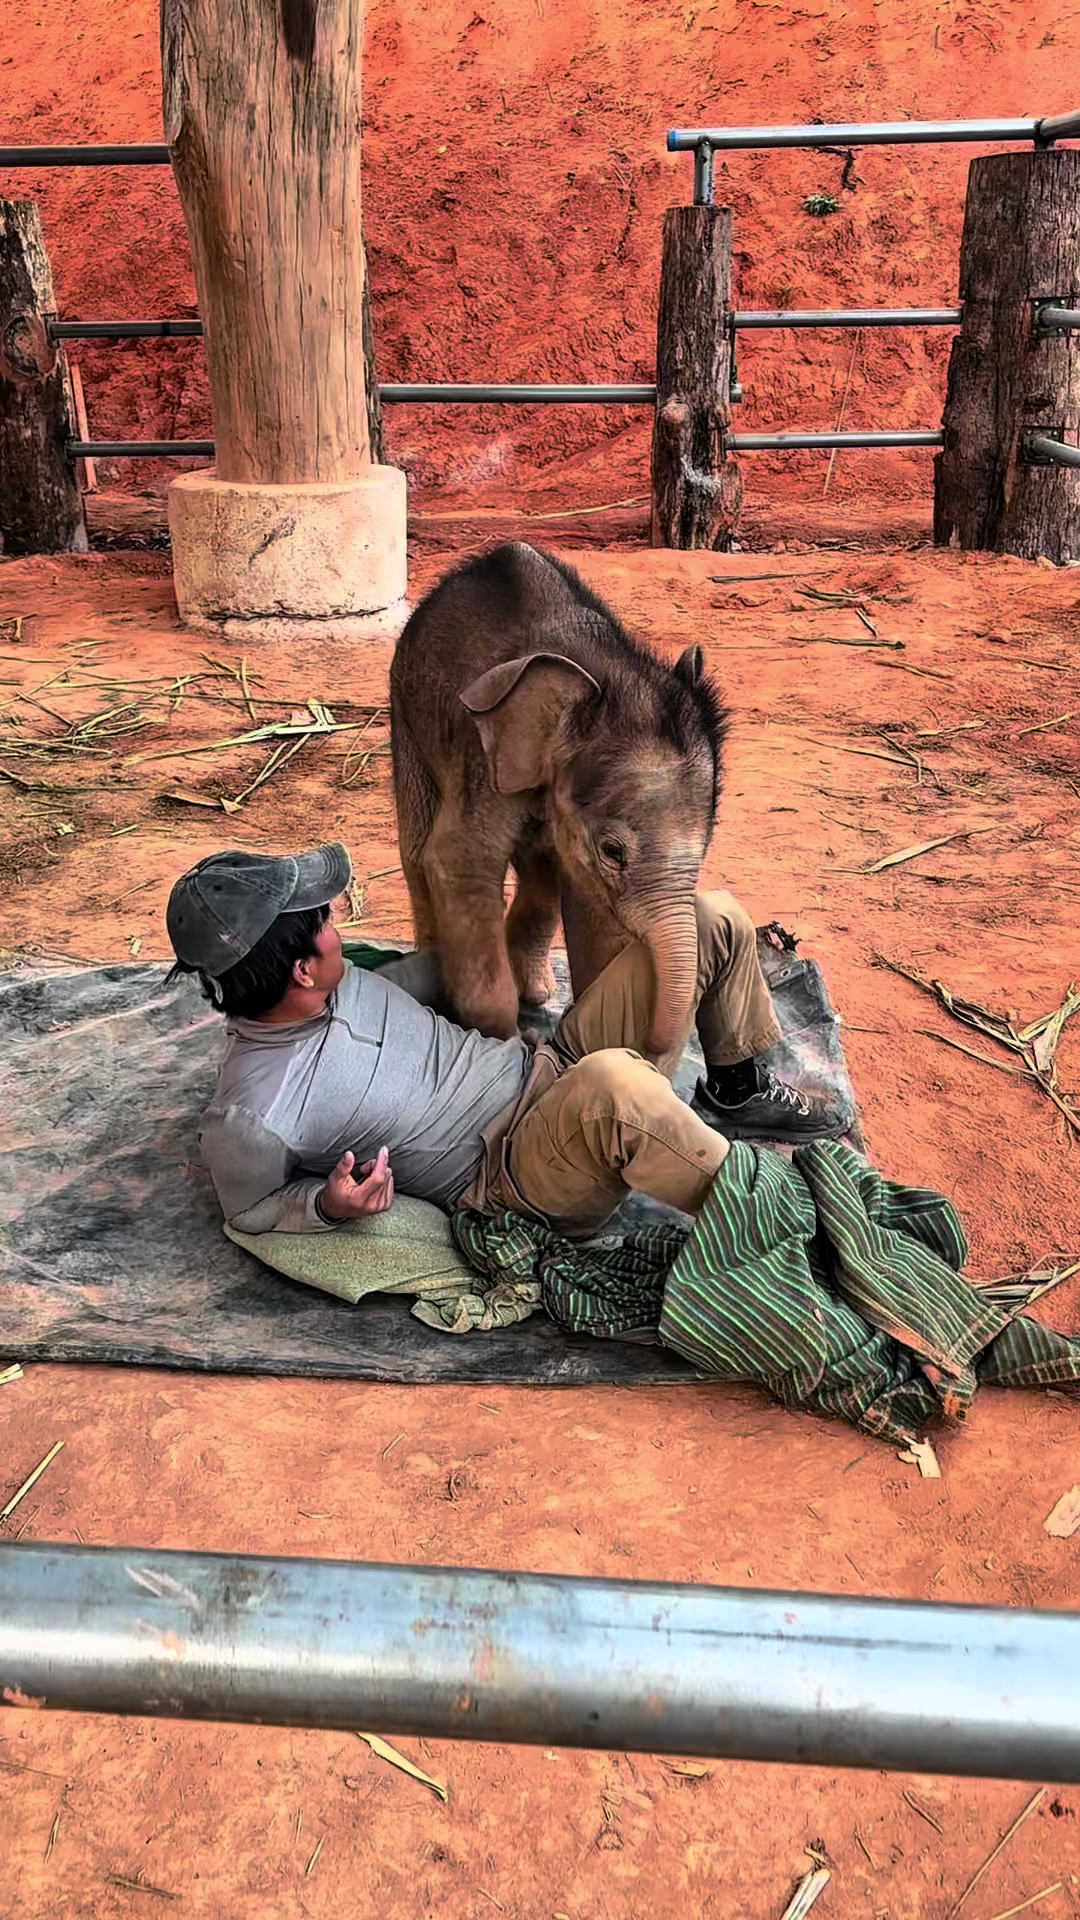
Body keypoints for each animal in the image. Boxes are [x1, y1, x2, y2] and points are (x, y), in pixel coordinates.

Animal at [388, 542, 728, 1061]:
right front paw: (510, 1043)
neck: (605, 670)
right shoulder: (482, 757)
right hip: (404, 714)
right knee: (416, 847)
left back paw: (537, 992)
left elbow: (591, 901)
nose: (650, 1049)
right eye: (613, 851)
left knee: (542, 871)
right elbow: (455, 863)